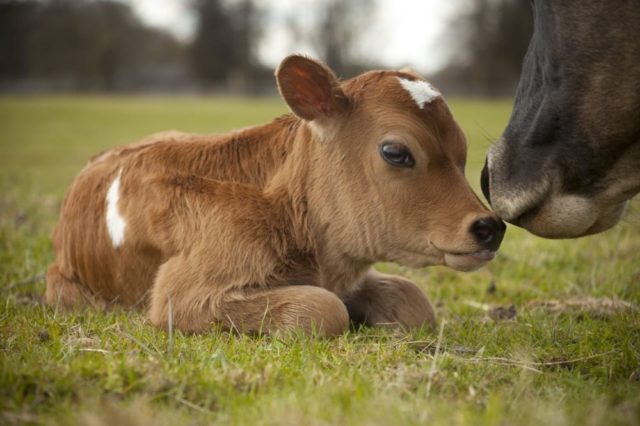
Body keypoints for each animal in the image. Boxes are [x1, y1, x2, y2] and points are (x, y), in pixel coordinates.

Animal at [46, 55, 504, 336]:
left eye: (463, 151)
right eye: (395, 152)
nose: (490, 227)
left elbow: (414, 300)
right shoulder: (181, 295)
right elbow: (324, 309)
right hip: (67, 290)